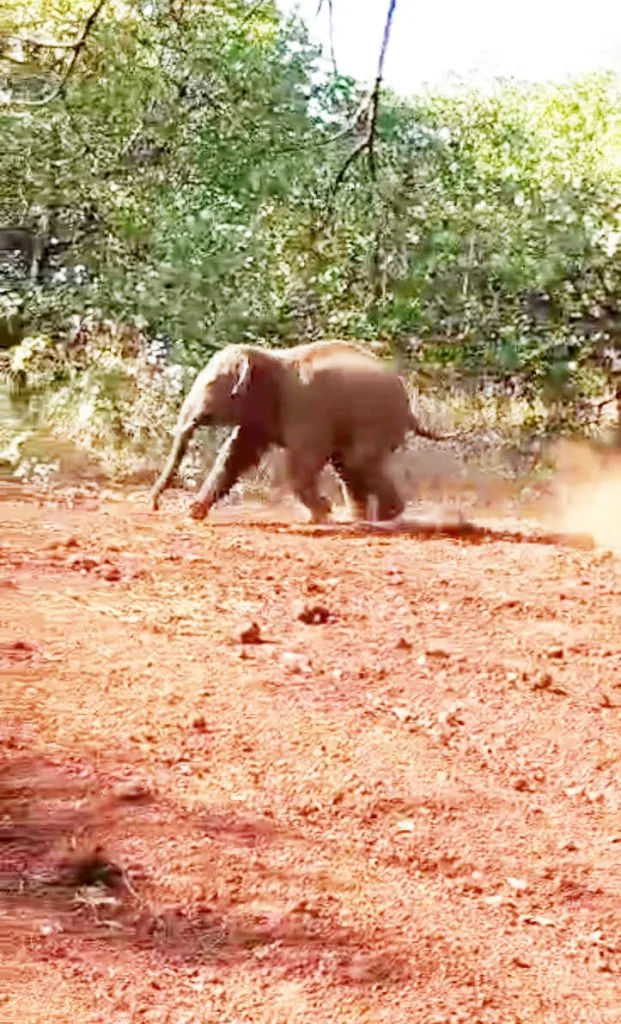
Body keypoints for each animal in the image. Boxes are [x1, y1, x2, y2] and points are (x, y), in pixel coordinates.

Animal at [149, 340, 455, 523]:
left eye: (211, 384)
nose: (153, 506)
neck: (267, 357)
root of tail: (411, 410)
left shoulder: (306, 405)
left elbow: (302, 461)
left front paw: (322, 513)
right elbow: (236, 454)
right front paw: (194, 513)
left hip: (376, 421)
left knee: (357, 461)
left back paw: (385, 516)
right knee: (348, 465)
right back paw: (361, 518)